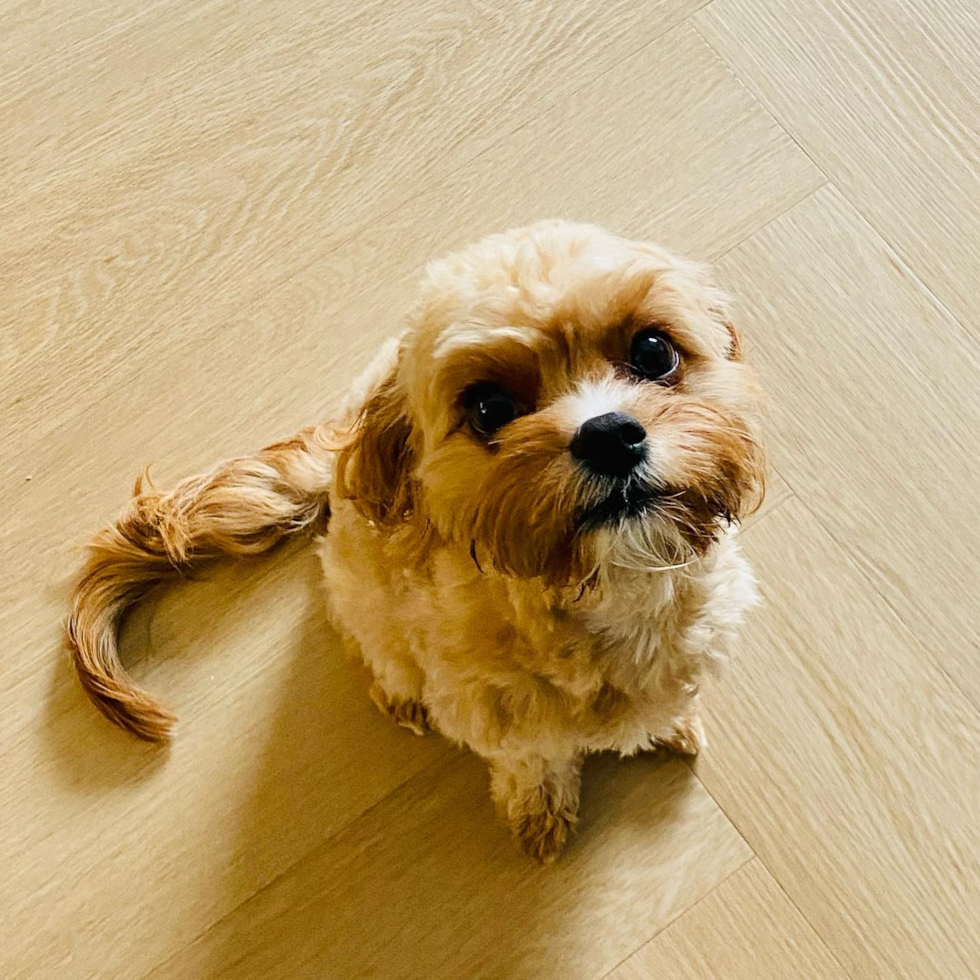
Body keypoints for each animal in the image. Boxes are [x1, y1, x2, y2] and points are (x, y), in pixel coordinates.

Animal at [69, 220, 764, 856]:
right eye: (489, 409)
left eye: (653, 351)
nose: (609, 435)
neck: (603, 591)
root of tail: (341, 446)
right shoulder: (498, 719)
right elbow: (533, 763)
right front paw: (540, 808)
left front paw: (670, 725)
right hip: (361, 592)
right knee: (376, 645)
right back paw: (400, 695)